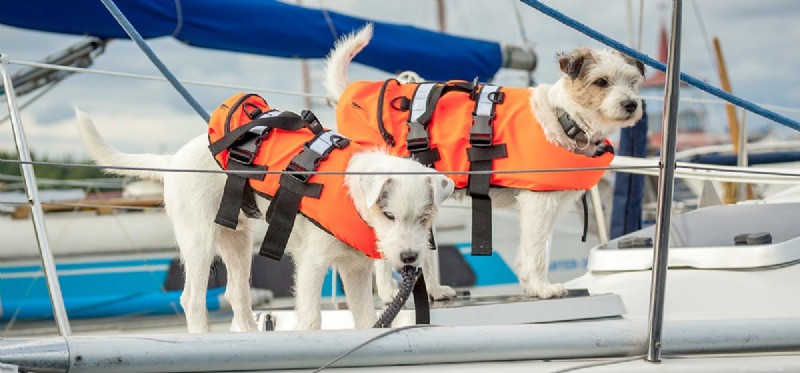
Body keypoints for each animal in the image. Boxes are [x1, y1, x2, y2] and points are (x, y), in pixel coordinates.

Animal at [77, 109, 454, 330]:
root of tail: (172, 162)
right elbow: (311, 317)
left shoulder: (355, 269)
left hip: (236, 241)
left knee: (236, 293)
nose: (409, 258)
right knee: (193, 299)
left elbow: (365, 320)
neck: (351, 191)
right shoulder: (312, 264)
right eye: (388, 214)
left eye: (425, 217)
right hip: (199, 241)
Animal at [324, 24, 644, 300]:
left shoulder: (544, 206)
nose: (631, 104)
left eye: (632, 81)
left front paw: (530, 285)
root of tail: (348, 96)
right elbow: (537, 251)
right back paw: (390, 292)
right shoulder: (538, 204)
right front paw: (542, 287)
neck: (564, 117)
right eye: (601, 82)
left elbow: (532, 249)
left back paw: (434, 291)